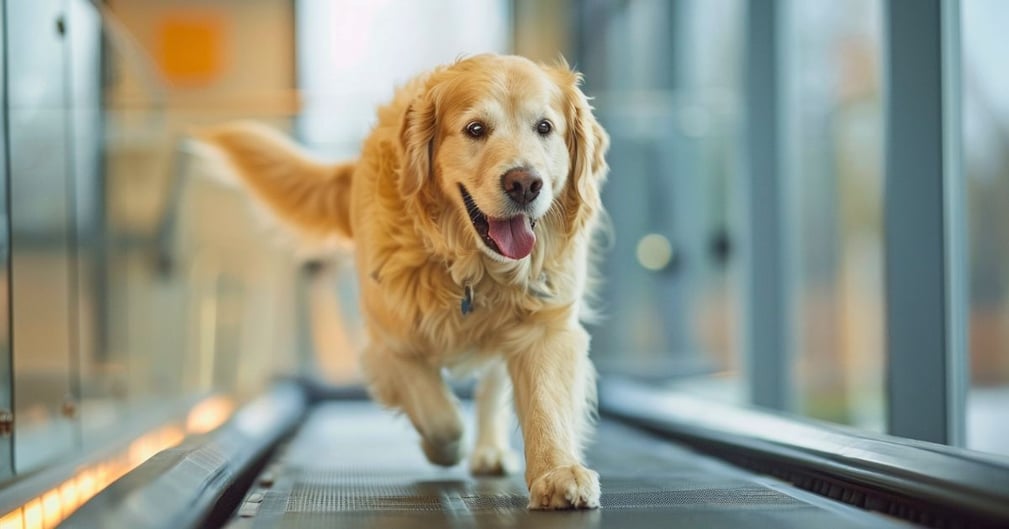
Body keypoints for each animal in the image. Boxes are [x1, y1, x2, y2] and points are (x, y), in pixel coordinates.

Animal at [197, 52, 605, 508]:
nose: (525, 184)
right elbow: (442, 417)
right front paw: (443, 448)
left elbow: (547, 404)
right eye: (475, 129)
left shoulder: (545, 327)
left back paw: (490, 451)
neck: (471, 268)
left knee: (491, 389)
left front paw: (557, 472)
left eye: (545, 127)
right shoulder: (390, 343)